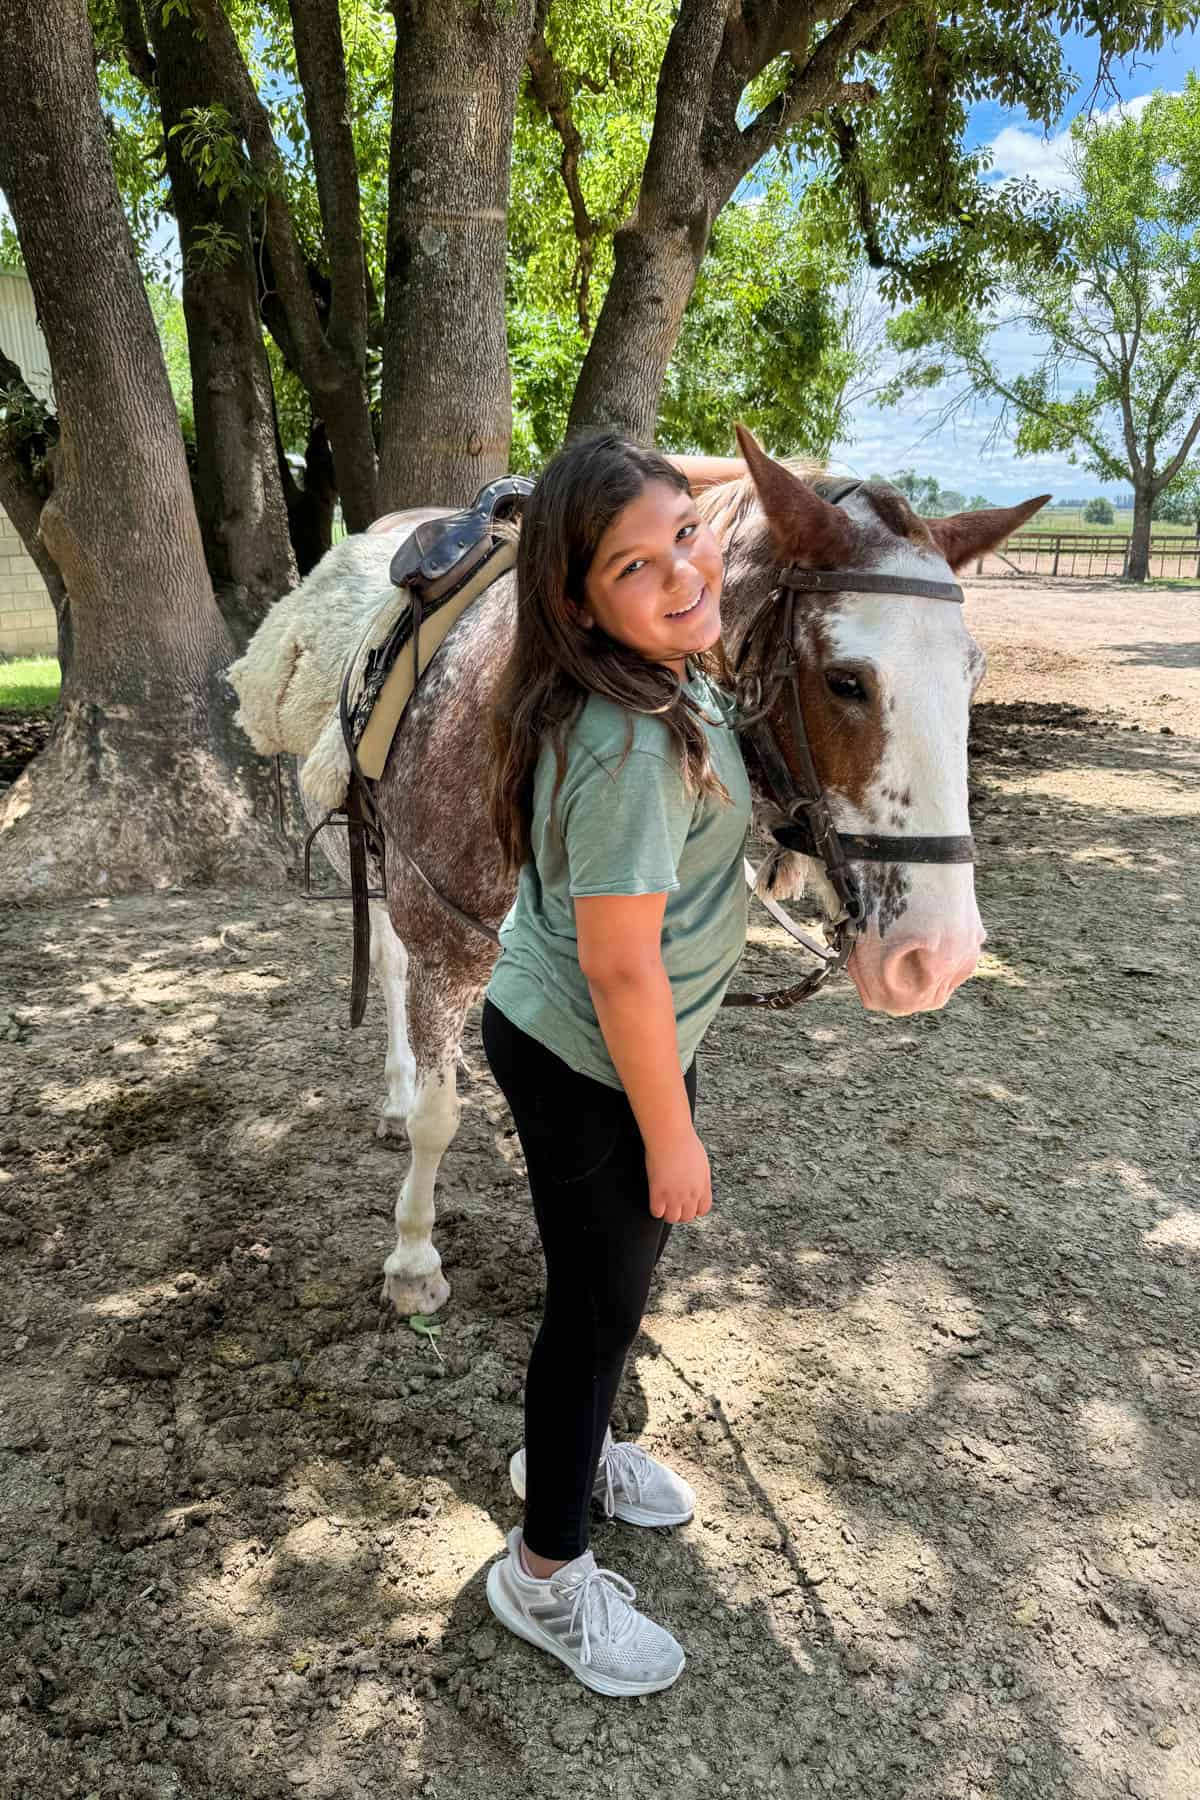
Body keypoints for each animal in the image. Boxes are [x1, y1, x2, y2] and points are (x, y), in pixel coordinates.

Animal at [250, 427, 1047, 1316]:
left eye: (973, 675)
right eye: (847, 681)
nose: (937, 958)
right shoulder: (443, 942)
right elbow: (436, 1117)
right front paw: (414, 1257)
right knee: (388, 968)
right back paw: (396, 1095)